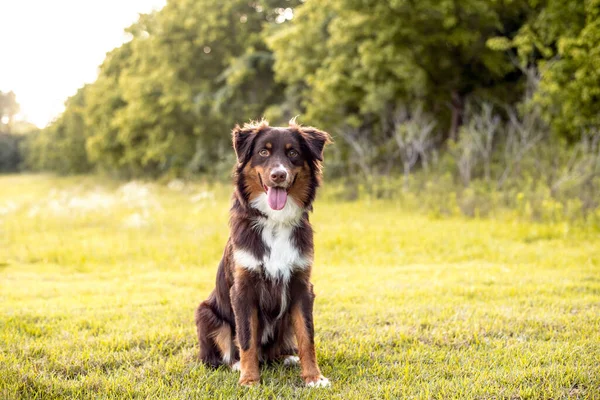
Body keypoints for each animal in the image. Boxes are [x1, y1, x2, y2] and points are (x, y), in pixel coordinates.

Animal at [195, 119, 332, 388]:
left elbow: (307, 337)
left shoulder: (301, 286)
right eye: (263, 152)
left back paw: (287, 358)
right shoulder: (243, 289)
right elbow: (247, 338)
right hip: (206, 313)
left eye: (293, 153)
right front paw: (249, 379)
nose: (278, 175)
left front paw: (313, 377)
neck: (275, 222)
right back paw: (237, 365)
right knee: (220, 355)